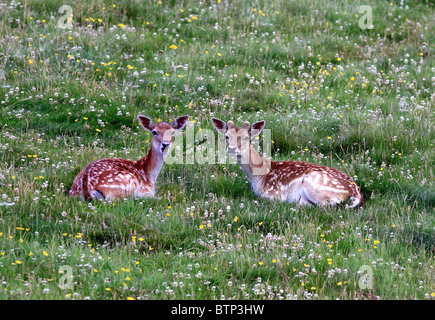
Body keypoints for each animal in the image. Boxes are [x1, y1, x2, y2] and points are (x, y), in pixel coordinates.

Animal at [211, 117, 364, 208]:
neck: (259, 176)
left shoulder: (272, 194)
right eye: (226, 136)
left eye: (245, 138)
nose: (231, 148)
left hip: (314, 183)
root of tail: (357, 194)